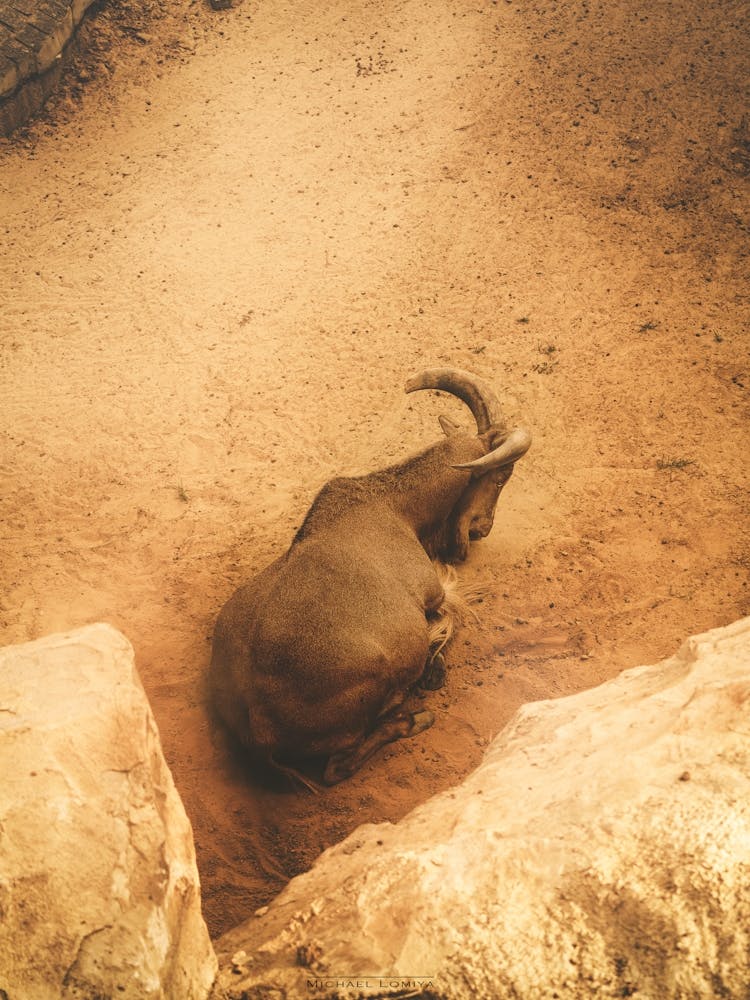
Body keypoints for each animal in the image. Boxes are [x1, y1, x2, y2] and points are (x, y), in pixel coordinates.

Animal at [209, 368, 531, 786]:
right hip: (372, 689)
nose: (481, 530)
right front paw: (434, 670)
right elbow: (451, 616)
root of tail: (257, 729)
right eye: (502, 476)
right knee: (337, 767)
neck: (393, 504)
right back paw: (413, 718)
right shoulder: (430, 593)